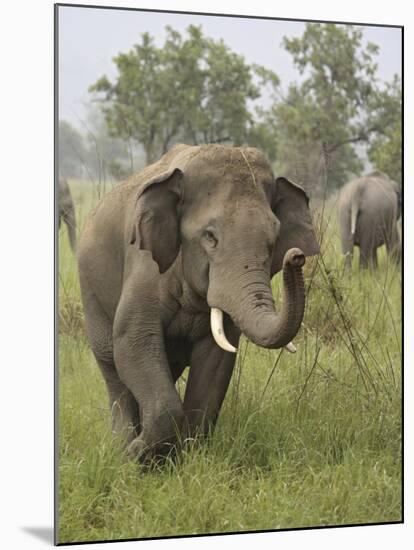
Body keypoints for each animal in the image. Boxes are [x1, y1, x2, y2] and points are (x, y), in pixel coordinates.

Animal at [77, 144, 320, 464]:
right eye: (210, 237)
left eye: (273, 241)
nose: (297, 256)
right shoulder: (144, 265)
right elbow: (133, 341)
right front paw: (137, 456)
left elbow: (216, 360)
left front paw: (185, 458)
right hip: (90, 290)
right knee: (113, 367)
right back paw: (122, 448)